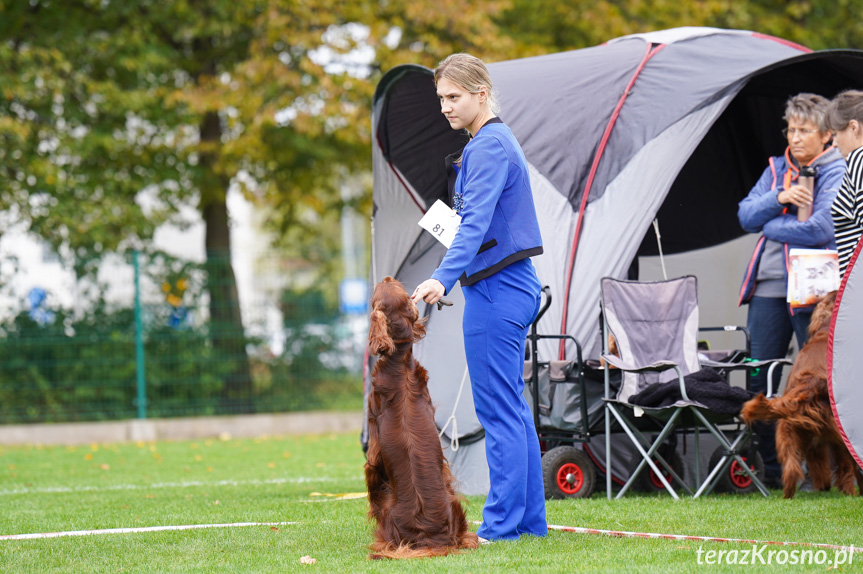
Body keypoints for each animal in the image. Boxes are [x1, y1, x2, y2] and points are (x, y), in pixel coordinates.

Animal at [362, 276, 480, 560]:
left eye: (381, 289)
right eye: (405, 294)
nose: (387, 277)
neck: (398, 363)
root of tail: (430, 537)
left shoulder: (373, 450)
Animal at [744, 292, 863, 500]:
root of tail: (809, 384)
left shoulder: (816, 440)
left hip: (789, 432)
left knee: (791, 468)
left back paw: (788, 496)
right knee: (851, 465)